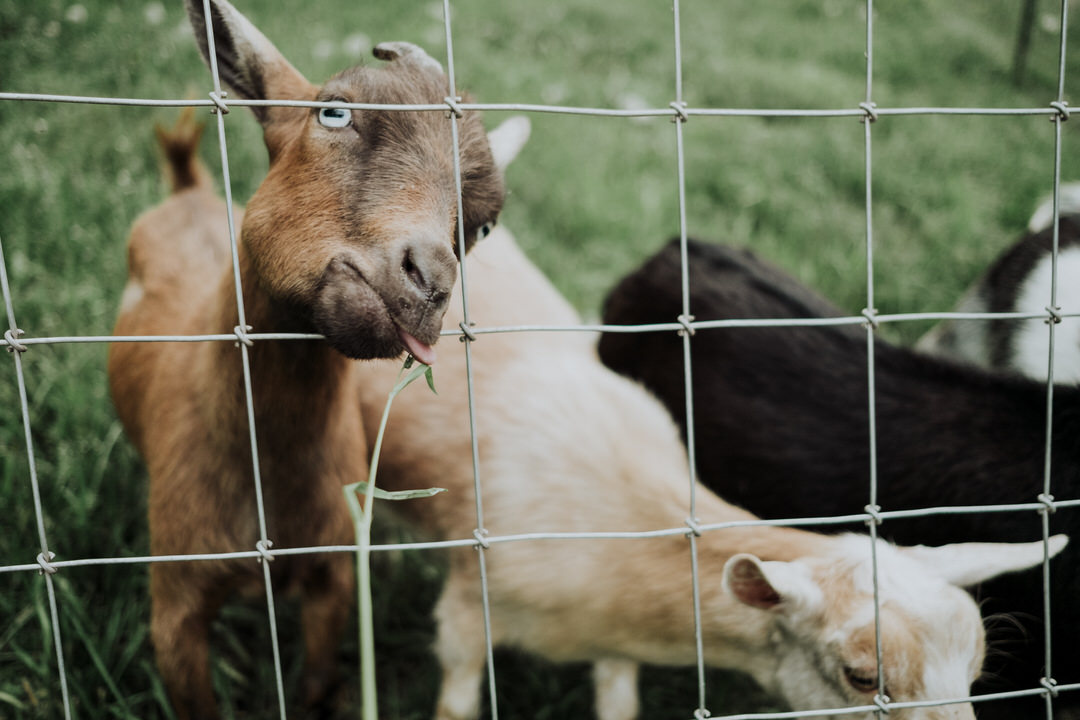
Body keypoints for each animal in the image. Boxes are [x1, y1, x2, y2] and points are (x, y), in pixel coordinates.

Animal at [107, 1, 505, 717]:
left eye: (483, 227)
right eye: (334, 112)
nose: (429, 282)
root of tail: (187, 187)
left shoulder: (334, 573)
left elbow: (318, 678)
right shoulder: (175, 611)